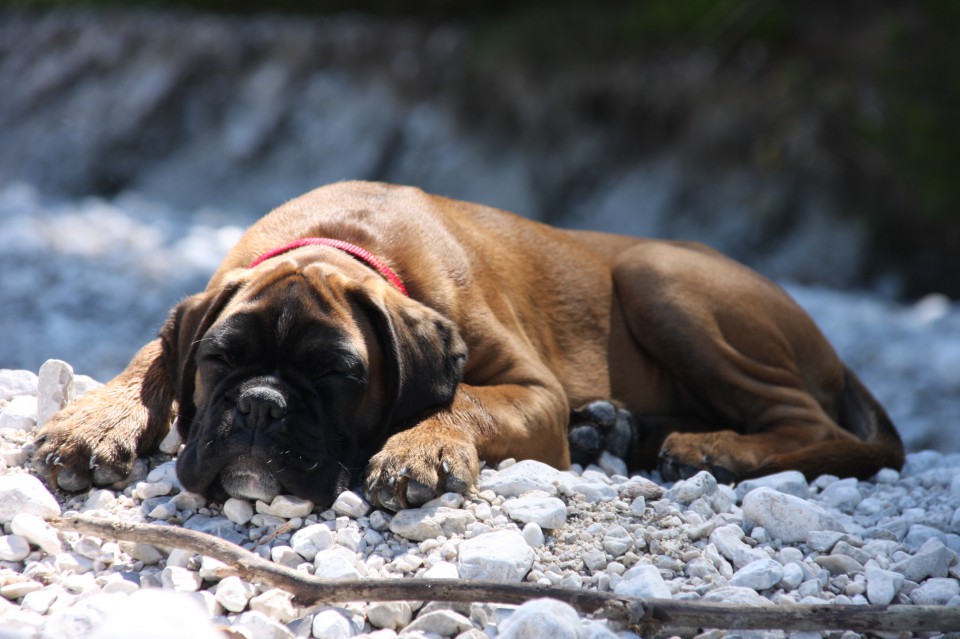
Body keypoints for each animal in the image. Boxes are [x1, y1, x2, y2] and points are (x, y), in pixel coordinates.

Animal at [35, 180, 900, 510]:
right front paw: (94, 422)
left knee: (807, 424)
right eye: (220, 360)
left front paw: (421, 445)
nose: (258, 406)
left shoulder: (531, 389)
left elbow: (467, 402)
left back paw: (715, 446)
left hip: (659, 276)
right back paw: (614, 427)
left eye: (339, 371)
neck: (345, 243)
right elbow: (149, 362)